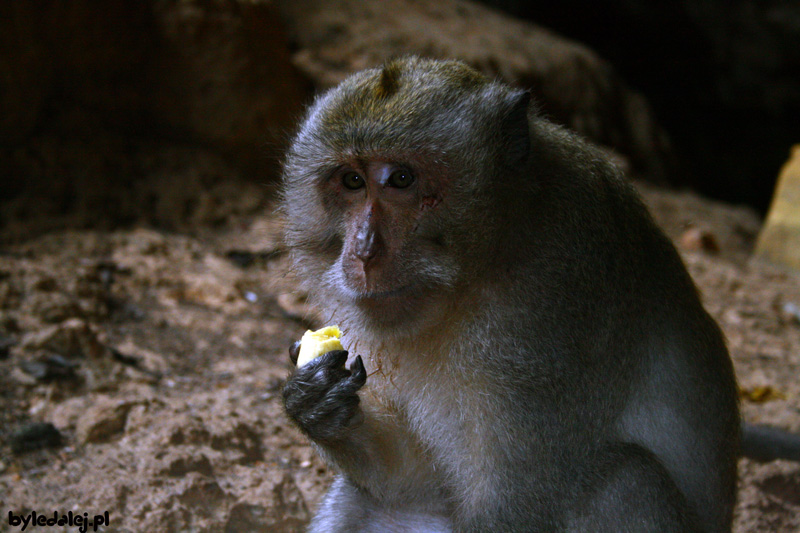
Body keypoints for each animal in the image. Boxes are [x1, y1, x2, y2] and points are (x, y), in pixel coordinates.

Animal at [278, 56, 740, 528]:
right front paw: (316, 405)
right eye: (352, 181)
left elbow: (517, 505)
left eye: (401, 179)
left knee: (625, 480)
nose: (364, 251)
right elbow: (413, 483)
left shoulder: (550, 314)